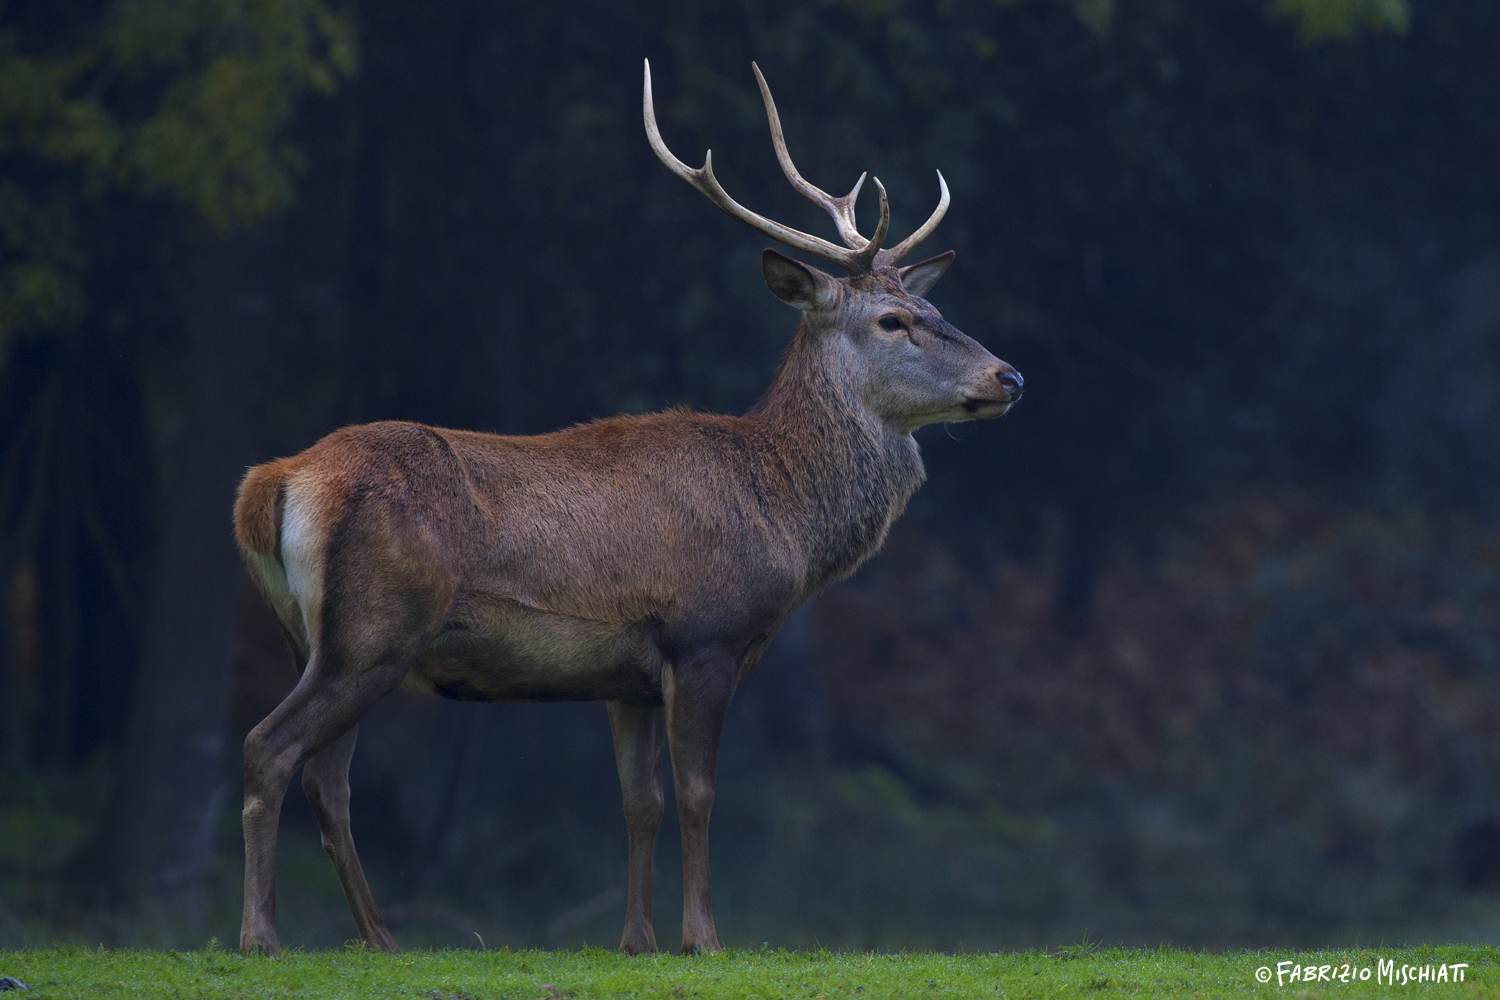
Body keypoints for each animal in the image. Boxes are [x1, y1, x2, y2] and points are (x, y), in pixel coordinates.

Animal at [231, 59, 1023, 957]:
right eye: (894, 320)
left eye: (937, 310)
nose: (1008, 376)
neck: (783, 513)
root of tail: (276, 481)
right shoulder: (704, 635)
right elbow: (698, 794)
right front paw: (703, 936)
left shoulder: (628, 674)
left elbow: (639, 802)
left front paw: (635, 938)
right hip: (374, 629)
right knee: (270, 749)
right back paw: (261, 935)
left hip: (315, 636)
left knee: (328, 780)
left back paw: (380, 939)